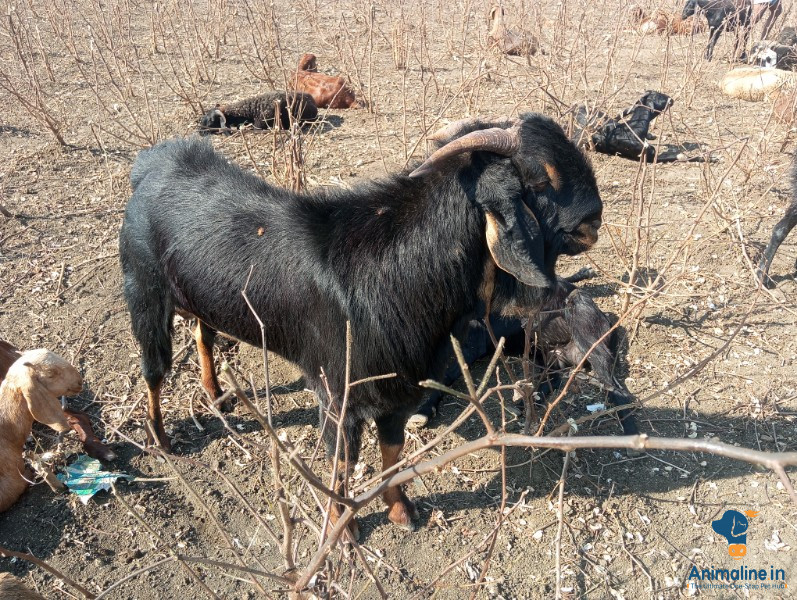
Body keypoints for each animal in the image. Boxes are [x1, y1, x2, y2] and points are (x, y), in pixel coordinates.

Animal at [120, 113, 603, 532]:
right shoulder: (337, 394)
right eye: (540, 179)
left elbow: (392, 451)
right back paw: (160, 437)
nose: (594, 219)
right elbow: (341, 464)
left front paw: (401, 510)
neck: (396, 272)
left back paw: (217, 394)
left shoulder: (397, 392)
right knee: (154, 368)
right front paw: (343, 528)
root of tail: (150, 163)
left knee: (202, 331)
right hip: (144, 288)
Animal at [410, 274, 639, 436]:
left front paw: (424, 410)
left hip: (588, 339)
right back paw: (524, 403)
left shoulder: (472, 347)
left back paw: (630, 429)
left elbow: (446, 378)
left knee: (617, 389)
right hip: (544, 355)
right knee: (553, 380)